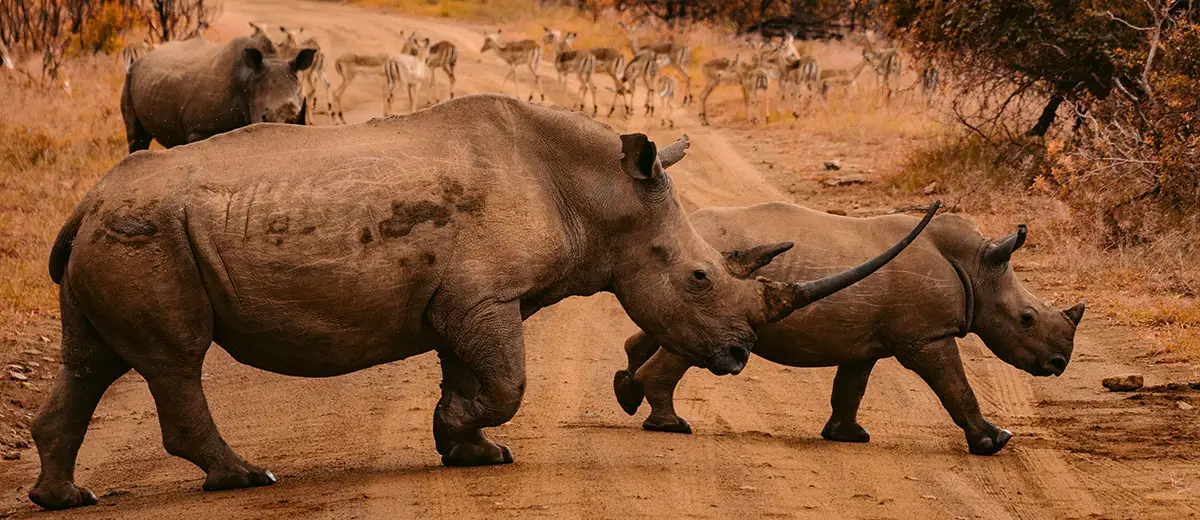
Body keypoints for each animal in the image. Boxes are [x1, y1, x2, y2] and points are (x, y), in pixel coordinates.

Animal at [614, 202, 1084, 453]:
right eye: (1026, 319)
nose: (1059, 363)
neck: (977, 267)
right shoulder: (926, 336)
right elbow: (956, 387)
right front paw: (995, 442)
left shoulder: (866, 341)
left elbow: (851, 388)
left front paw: (848, 437)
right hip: (708, 278)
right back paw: (671, 425)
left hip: (691, 275)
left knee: (661, 327)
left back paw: (628, 394)